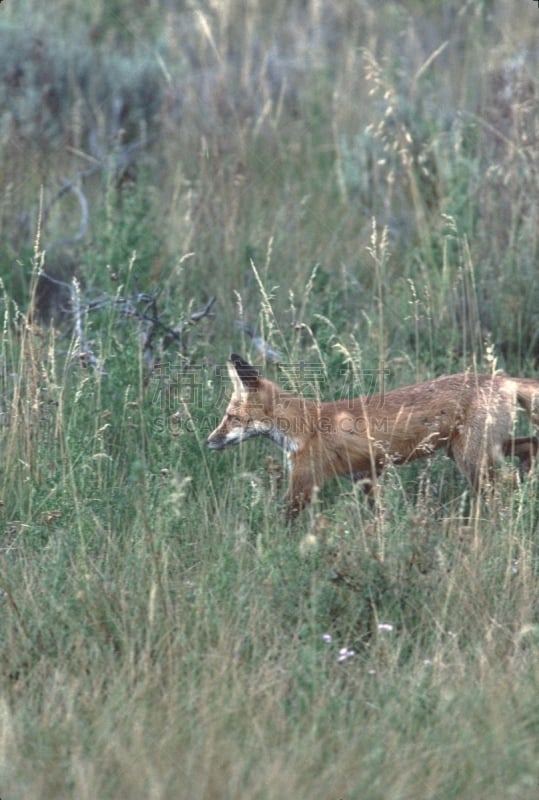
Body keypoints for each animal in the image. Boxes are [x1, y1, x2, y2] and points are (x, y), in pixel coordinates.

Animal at [207, 354, 539, 516]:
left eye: (231, 418)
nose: (208, 441)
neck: (307, 425)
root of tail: (501, 379)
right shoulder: (367, 477)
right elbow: (378, 518)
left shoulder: (303, 485)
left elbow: (281, 521)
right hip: (481, 450)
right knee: (530, 445)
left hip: (472, 461)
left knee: (504, 489)